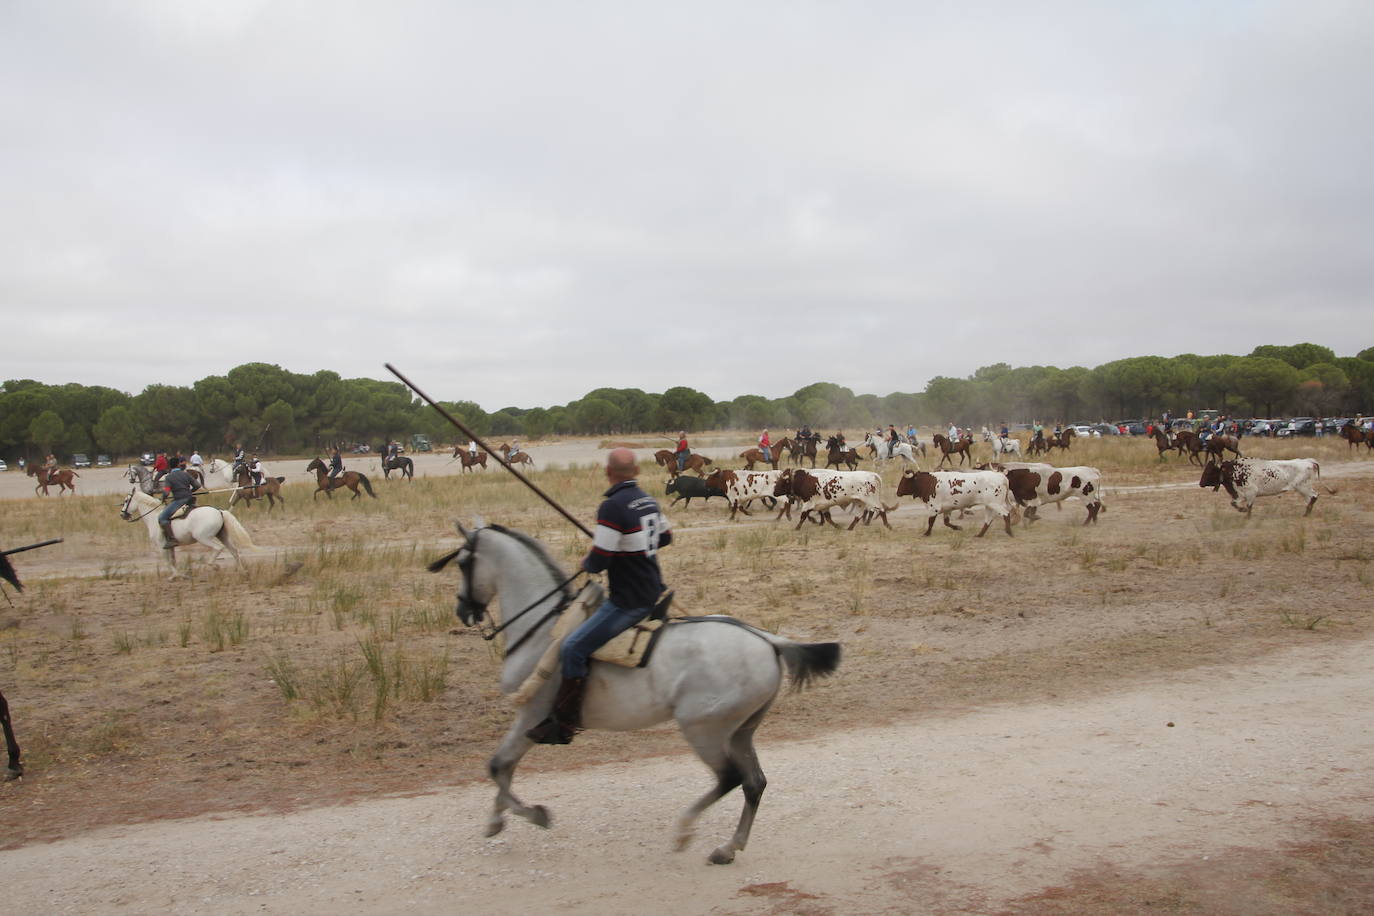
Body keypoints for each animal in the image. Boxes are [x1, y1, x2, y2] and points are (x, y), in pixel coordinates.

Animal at [118, 486, 255, 579]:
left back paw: (213, 565)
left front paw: (174, 576)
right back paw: (242, 571)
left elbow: (168, 562)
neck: (154, 516)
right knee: (234, 551)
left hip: (203, 538)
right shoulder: (170, 546)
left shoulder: (161, 547)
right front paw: (179, 575)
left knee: (218, 548)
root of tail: (219, 511)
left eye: (126, 501)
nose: (122, 515)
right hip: (222, 536)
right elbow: (172, 560)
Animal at [428, 521, 840, 867]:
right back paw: (728, 847)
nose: (463, 610)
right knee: (754, 782)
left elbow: (497, 766)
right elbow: (504, 768)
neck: (544, 627)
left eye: (463, 562)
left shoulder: (531, 716)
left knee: (729, 779)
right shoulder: (528, 722)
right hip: (741, 731)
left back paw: (684, 831)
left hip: (703, 730)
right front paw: (497, 820)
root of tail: (769, 641)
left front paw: (532, 815)